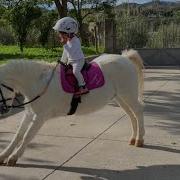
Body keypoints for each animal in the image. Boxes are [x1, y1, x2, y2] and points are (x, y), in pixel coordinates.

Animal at [0, 49, 145, 166]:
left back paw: (139, 139)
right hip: (120, 98)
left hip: (128, 95)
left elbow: (27, 136)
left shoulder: (40, 117)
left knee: (138, 111)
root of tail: (126, 58)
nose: (3, 110)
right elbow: (18, 135)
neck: (38, 82)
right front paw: (3, 155)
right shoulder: (29, 113)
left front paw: (13, 158)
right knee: (131, 114)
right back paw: (133, 138)